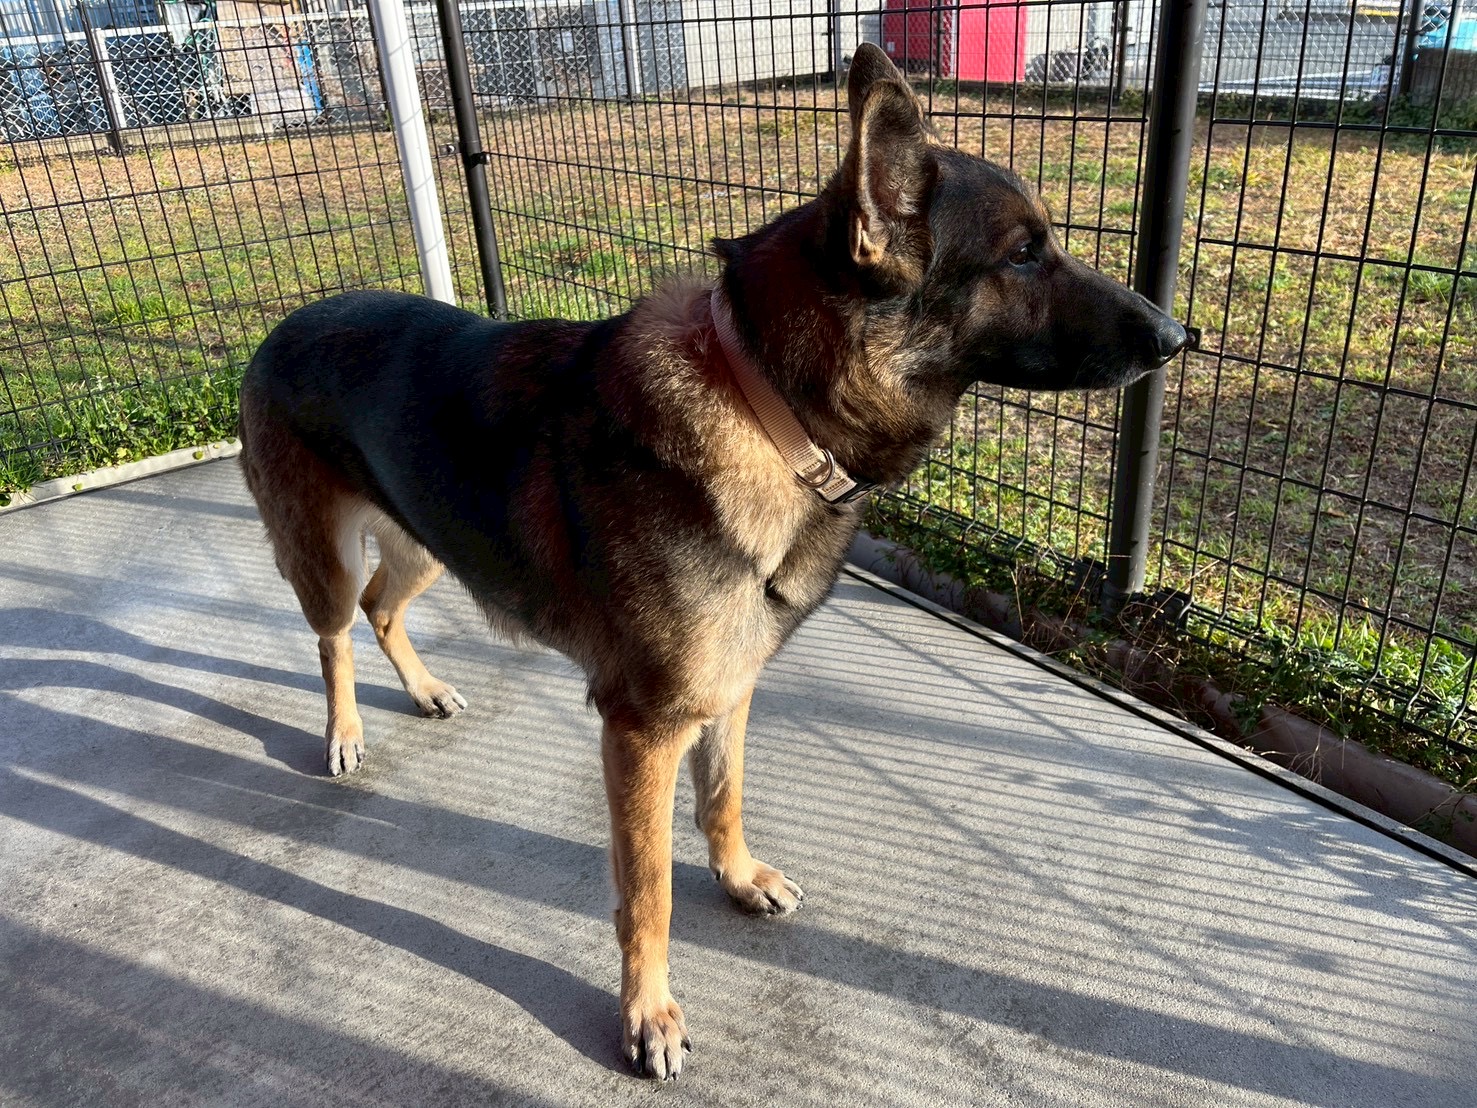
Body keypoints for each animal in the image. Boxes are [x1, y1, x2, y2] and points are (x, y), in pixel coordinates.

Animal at [238, 43, 1186, 1080]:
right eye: (1022, 254)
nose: (1178, 338)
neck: (766, 407)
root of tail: (280, 325)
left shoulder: (725, 689)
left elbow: (724, 800)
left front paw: (735, 879)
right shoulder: (643, 729)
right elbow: (645, 892)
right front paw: (647, 1014)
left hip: (428, 546)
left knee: (383, 606)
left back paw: (422, 688)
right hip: (326, 557)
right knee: (334, 634)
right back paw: (344, 732)